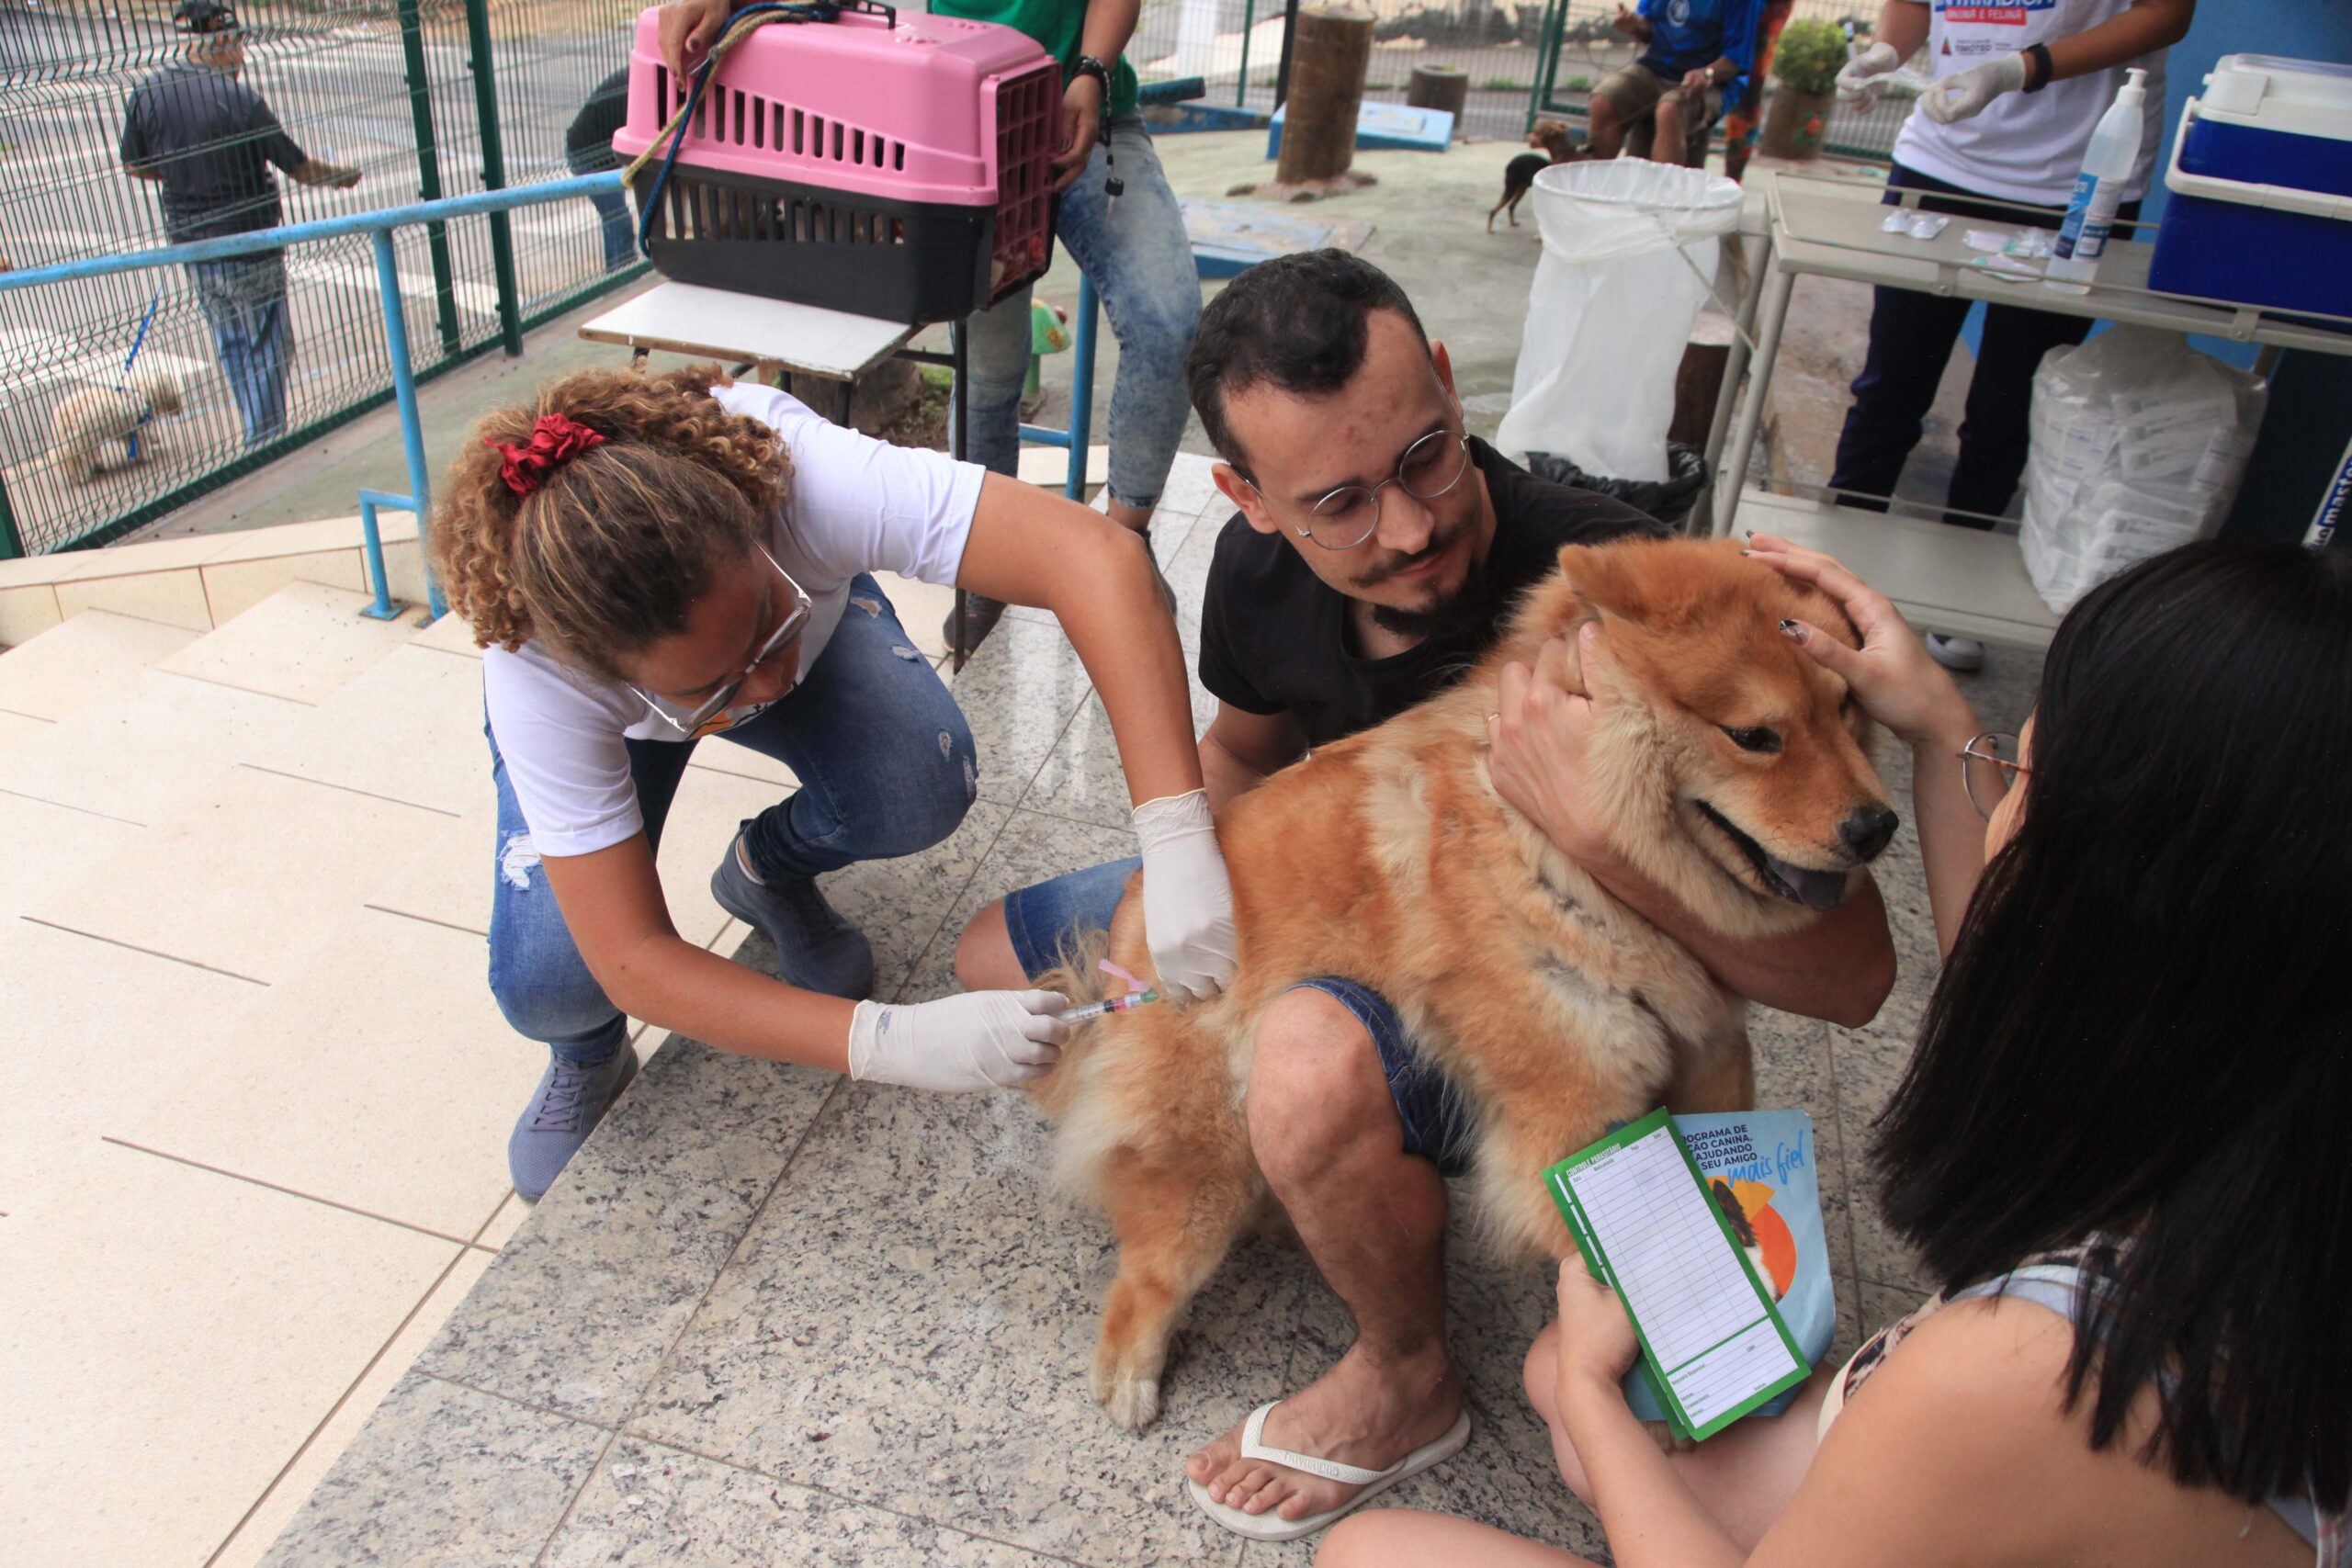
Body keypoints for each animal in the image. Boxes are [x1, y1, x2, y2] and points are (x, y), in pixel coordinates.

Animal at [51, 368, 182, 481]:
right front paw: (148, 455)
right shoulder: (139, 427)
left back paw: (96, 467)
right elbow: (144, 440)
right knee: (77, 461)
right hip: (84, 440)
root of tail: (61, 417)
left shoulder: (129, 430)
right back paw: (81, 476)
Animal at [1039, 533, 1900, 1429]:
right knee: (1148, 1274)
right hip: (1205, 1157)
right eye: (1755, 735)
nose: (1876, 826)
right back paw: (1132, 1378)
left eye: (1845, 707)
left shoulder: (1711, 1054)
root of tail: (1127, 929)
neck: (1572, 857)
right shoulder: (1568, 1116)